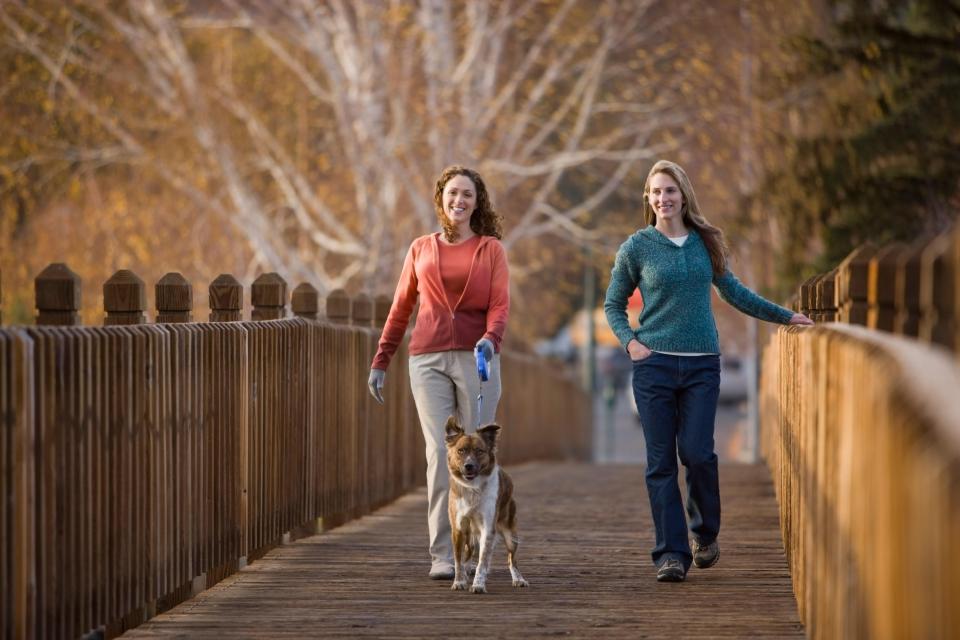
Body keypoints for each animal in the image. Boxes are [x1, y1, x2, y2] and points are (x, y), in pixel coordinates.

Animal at [446, 418, 528, 592]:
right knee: (469, 552)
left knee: (512, 559)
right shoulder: (458, 528)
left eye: (479, 451)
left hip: (510, 534)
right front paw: (459, 581)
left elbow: (482, 561)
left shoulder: (488, 528)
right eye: (461, 451)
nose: (468, 466)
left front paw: (478, 585)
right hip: (469, 535)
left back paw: (519, 579)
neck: (472, 488)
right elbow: (458, 560)